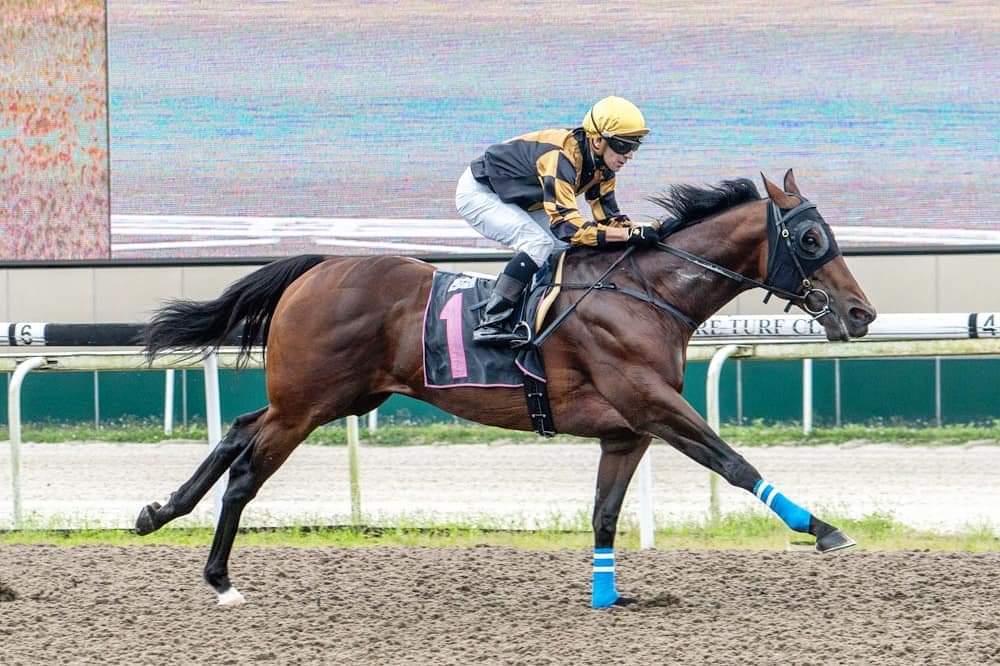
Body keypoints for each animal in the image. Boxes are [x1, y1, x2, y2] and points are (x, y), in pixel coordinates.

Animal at [136, 169, 877, 608]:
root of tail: (316, 267)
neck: (649, 293)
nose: (861, 312)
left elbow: (604, 513)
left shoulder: (627, 430)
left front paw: (607, 597)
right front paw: (823, 529)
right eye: (812, 239)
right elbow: (733, 462)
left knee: (237, 432)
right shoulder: (654, 404)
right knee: (245, 471)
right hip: (308, 405)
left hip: (334, 398)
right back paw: (220, 579)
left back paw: (157, 512)